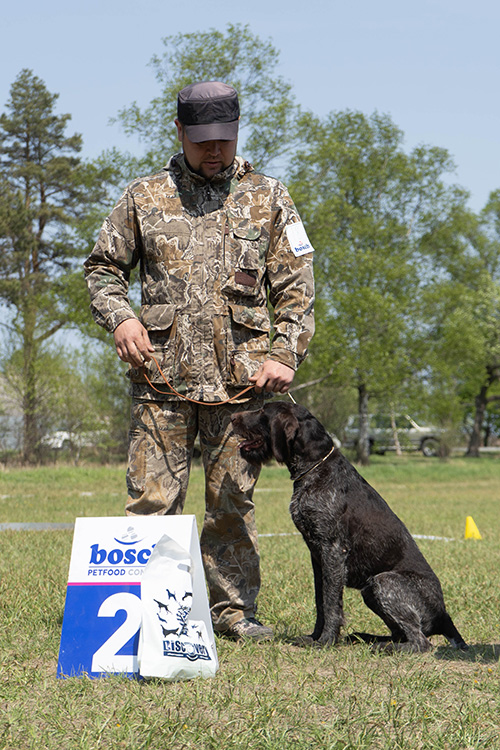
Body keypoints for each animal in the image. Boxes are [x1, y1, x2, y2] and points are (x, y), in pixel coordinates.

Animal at [232, 402, 466, 656]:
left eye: (262, 411)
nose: (233, 416)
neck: (315, 467)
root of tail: (444, 616)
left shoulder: (333, 550)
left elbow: (331, 604)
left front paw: (326, 641)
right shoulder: (317, 556)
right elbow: (321, 601)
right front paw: (315, 636)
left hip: (382, 582)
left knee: (421, 642)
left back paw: (384, 647)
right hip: (371, 591)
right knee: (401, 633)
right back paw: (368, 638)